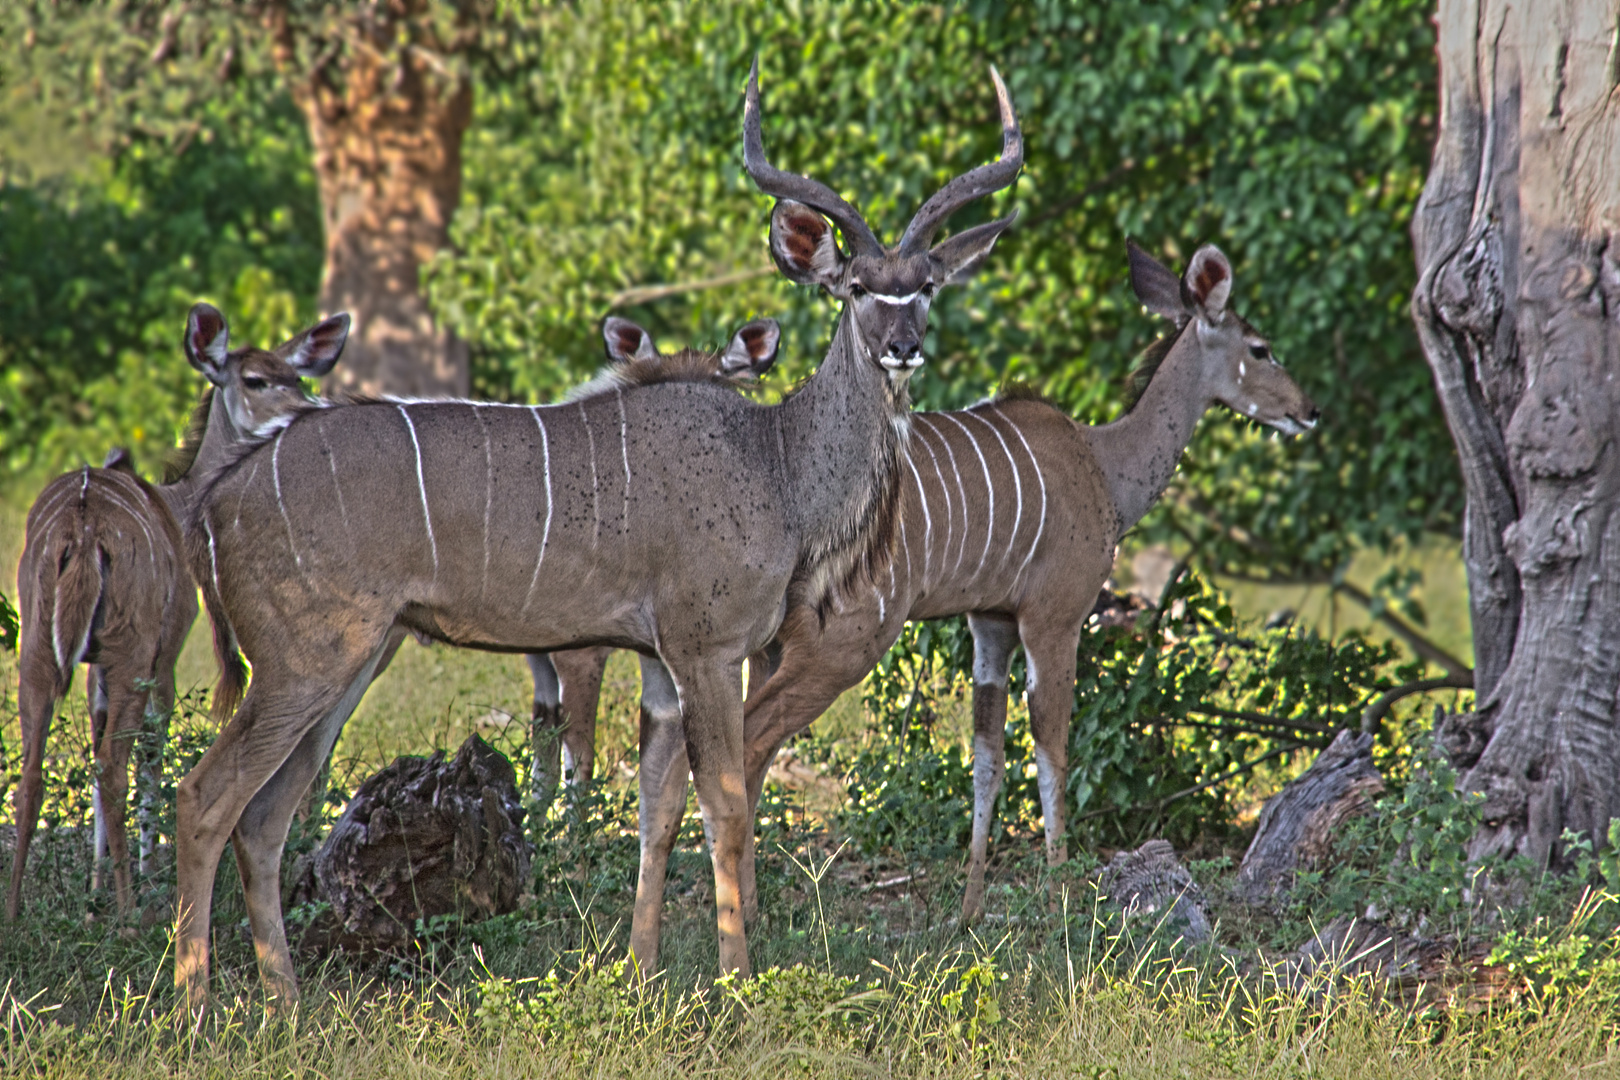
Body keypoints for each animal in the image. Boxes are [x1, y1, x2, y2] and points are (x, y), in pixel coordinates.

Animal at [10, 307, 345, 926]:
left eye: (296, 375)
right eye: (256, 379)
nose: (310, 409)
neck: (179, 500)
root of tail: (81, 529)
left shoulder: (92, 666)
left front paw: (93, 891)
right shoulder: (163, 653)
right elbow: (150, 756)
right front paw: (138, 882)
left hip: (39, 647)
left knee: (35, 769)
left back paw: (18, 909)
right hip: (132, 646)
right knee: (113, 768)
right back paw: (129, 914)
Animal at [170, 59, 1017, 1003]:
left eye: (927, 285)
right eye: (859, 287)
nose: (903, 346)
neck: (777, 462)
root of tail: (219, 498)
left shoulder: (656, 661)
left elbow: (659, 808)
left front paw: (642, 973)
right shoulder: (705, 649)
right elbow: (726, 804)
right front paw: (735, 981)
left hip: (351, 663)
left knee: (266, 816)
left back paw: (285, 1003)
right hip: (306, 661)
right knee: (204, 799)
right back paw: (195, 1007)